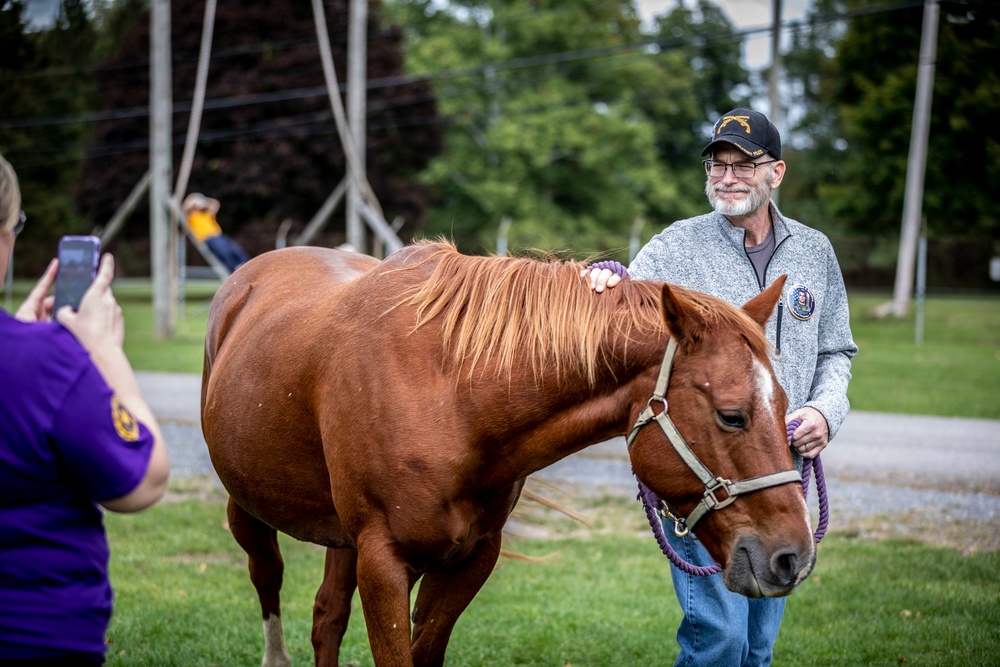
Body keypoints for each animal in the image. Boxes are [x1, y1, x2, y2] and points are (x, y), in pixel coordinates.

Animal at [201, 240, 812, 667]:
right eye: (731, 415)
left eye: (785, 406)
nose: (793, 557)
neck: (448, 390)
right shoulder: (383, 560)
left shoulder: (470, 558)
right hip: (247, 509)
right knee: (268, 578)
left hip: (342, 538)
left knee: (326, 615)